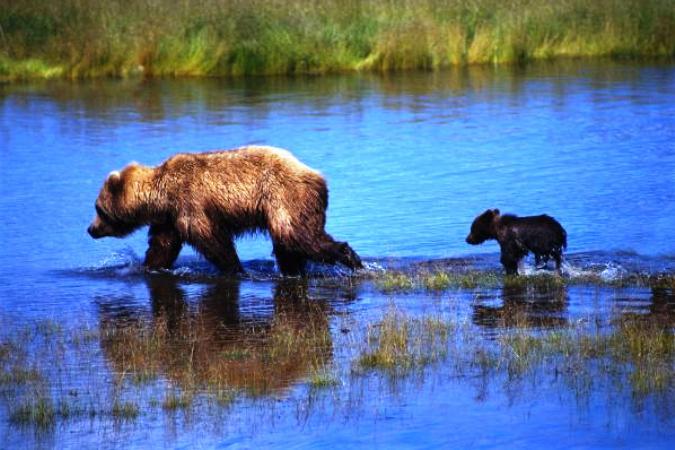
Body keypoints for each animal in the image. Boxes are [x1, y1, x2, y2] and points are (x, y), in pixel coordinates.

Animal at [91, 146, 364, 276]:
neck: (162, 194)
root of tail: (318, 177)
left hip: (285, 197)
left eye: (99, 209)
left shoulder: (191, 204)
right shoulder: (169, 218)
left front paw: (236, 268)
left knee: (300, 236)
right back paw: (292, 270)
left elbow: (213, 241)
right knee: (287, 246)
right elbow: (162, 247)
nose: (90, 229)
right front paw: (146, 267)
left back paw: (352, 259)